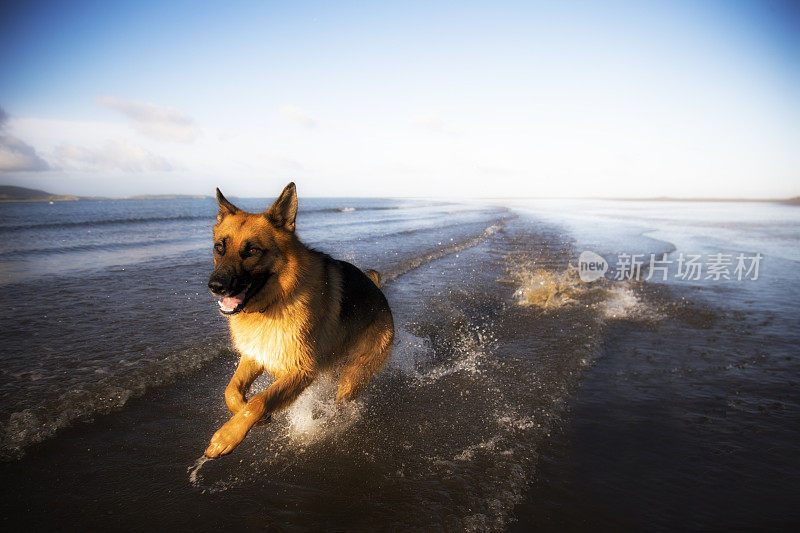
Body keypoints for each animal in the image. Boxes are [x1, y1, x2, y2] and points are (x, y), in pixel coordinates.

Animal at [203, 183, 394, 458]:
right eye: (220, 247)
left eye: (252, 251)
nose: (215, 286)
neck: (280, 296)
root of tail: (379, 294)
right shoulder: (257, 354)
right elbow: (232, 391)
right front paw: (251, 418)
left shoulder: (301, 371)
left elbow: (260, 401)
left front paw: (227, 436)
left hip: (353, 375)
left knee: (341, 402)